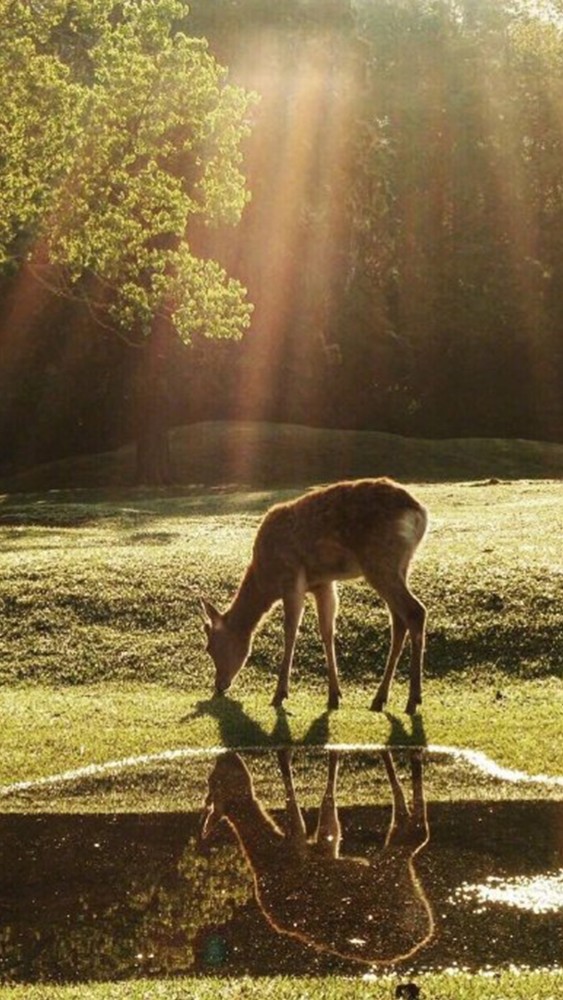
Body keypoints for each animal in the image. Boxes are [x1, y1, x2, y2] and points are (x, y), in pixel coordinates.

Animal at [200, 748, 434, 964]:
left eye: (211, 780)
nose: (224, 755)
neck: (269, 852)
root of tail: (427, 927)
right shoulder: (300, 847)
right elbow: (308, 805)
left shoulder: (320, 849)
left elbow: (326, 807)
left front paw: (331, 753)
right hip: (393, 867)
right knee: (416, 830)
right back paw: (406, 756)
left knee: (410, 824)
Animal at [202, 476, 428, 712]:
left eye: (210, 647)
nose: (219, 685)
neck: (266, 580)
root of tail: (419, 511)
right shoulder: (323, 583)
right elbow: (327, 631)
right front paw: (334, 695)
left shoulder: (292, 579)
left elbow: (290, 632)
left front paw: (280, 694)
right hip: (402, 565)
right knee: (399, 621)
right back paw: (379, 698)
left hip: (380, 561)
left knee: (415, 611)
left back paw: (413, 700)